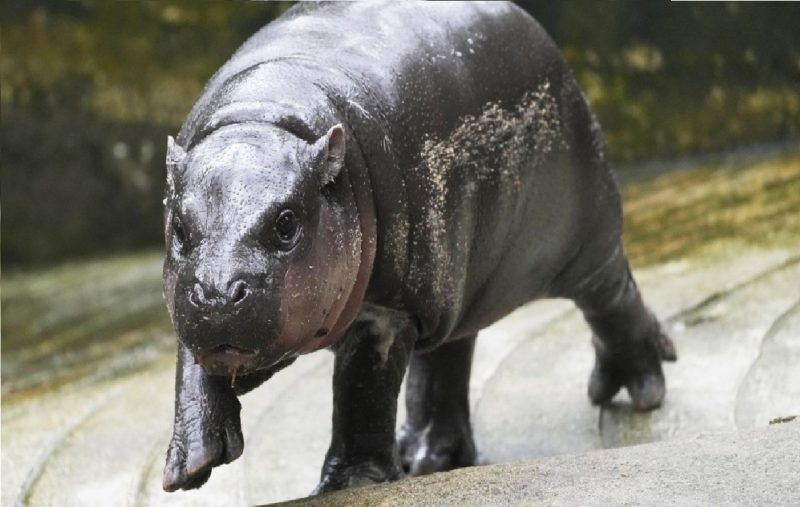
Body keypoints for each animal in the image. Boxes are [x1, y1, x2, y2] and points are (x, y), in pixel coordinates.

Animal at [161, 0, 676, 496]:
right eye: (179, 228)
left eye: (286, 223)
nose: (218, 295)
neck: (263, 118)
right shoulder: (186, 298)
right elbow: (190, 366)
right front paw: (191, 464)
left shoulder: (389, 310)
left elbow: (363, 392)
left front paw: (351, 483)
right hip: (456, 282)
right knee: (446, 359)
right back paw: (427, 456)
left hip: (582, 239)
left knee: (611, 296)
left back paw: (638, 389)